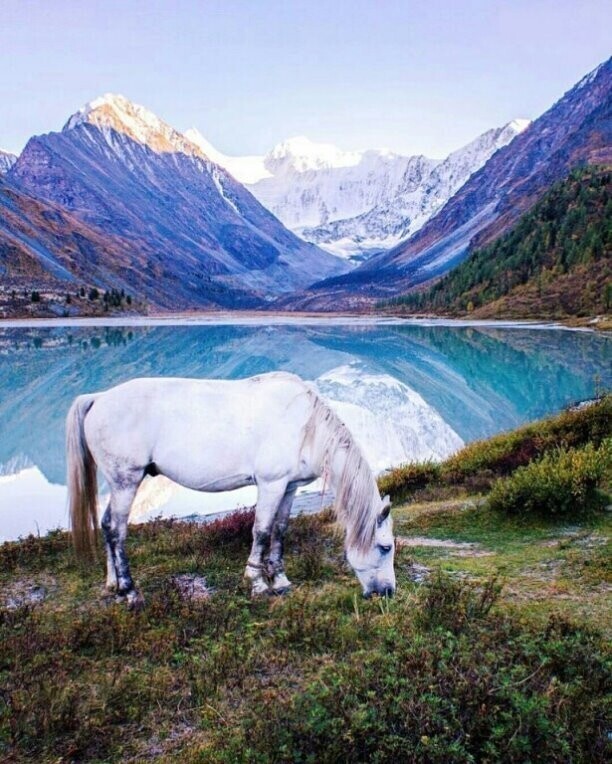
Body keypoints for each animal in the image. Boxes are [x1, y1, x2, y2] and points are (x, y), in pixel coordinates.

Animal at [64, 372, 394, 608]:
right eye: (385, 547)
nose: (388, 592)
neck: (306, 428)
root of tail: (98, 398)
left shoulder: (288, 488)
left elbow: (280, 530)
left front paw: (280, 579)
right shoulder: (271, 485)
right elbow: (261, 531)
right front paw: (257, 583)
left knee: (107, 524)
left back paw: (113, 585)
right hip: (126, 481)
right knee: (117, 530)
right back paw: (131, 592)